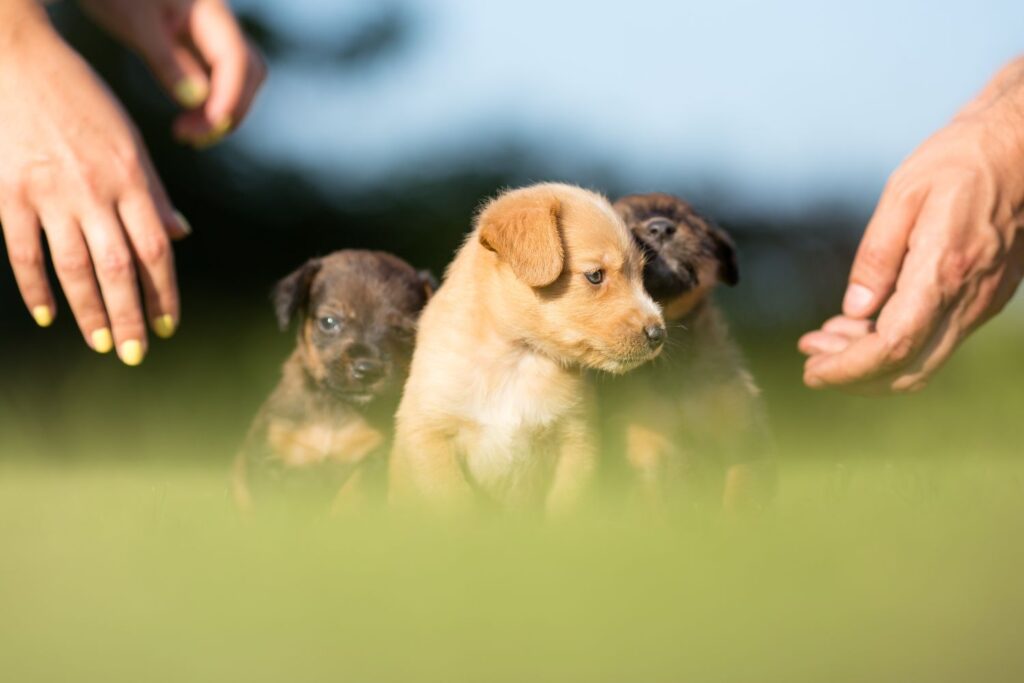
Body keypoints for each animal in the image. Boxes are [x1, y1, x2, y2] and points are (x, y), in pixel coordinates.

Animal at [234, 248, 434, 509]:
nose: (367, 369)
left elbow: (349, 496)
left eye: (402, 331)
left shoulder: (374, 459)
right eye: (329, 322)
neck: (334, 406)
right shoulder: (268, 460)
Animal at [387, 183, 667, 511]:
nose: (658, 333)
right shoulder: (430, 433)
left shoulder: (576, 438)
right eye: (595, 275)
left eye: (641, 273)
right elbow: (458, 505)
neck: (519, 359)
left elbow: (566, 507)